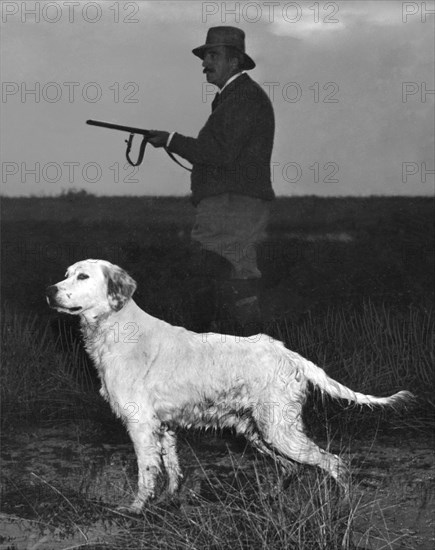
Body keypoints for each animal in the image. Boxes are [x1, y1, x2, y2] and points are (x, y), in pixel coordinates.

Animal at [46, 260, 414, 516]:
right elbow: (172, 470)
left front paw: (136, 509)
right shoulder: (163, 427)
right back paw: (270, 499)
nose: (49, 291)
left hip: (279, 430)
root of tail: (288, 353)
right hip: (259, 431)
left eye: (83, 277)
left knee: (335, 463)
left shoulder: (140, 425)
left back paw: (341, 508)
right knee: (292, 468)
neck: (118, 328)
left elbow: (146, 473)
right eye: (66, 273)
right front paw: (168, 500)